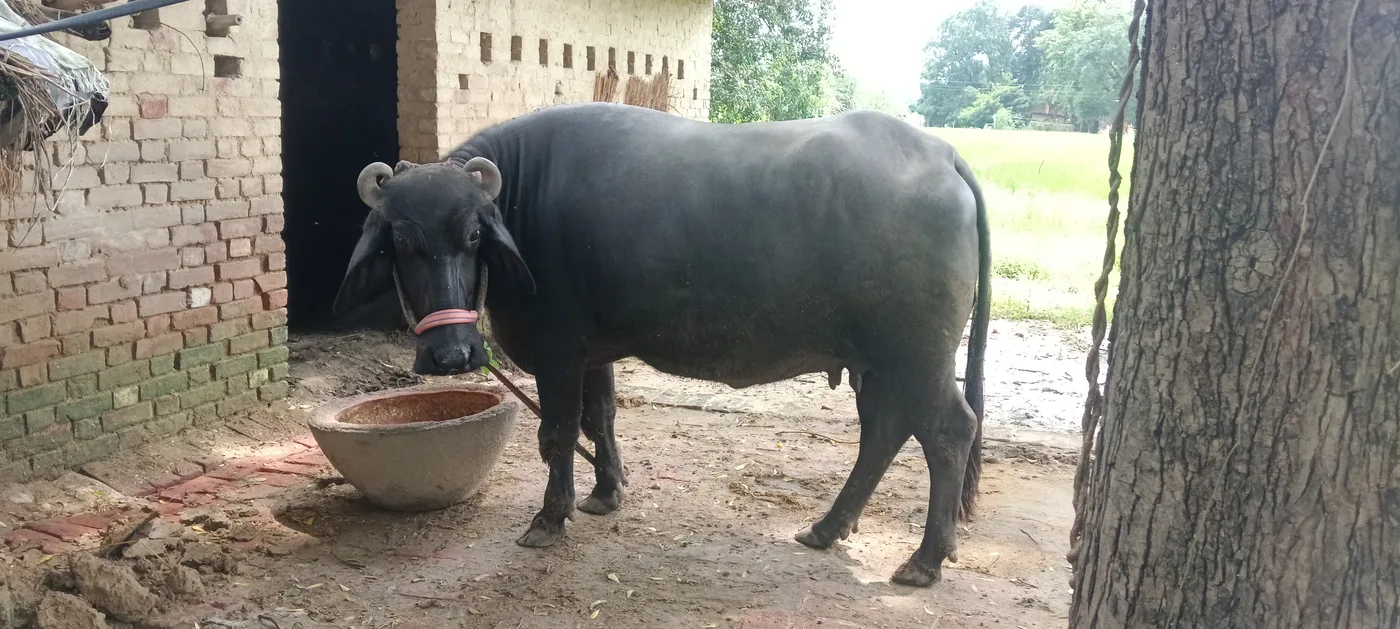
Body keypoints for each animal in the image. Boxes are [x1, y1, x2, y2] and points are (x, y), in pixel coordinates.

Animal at [332, 103, 991, 586]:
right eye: (400, 241)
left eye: (473, 235)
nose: (453, 356)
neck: (523, 200)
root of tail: (942, 154)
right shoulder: (592, 352)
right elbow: (599, 419)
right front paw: (605, 494)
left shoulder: (558, 351)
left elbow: (557, 432)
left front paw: (550, 517)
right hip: (878, 363)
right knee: (884, 432)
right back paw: (828, 528)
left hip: (919, 356)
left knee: (948, 431)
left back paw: (924, 561)